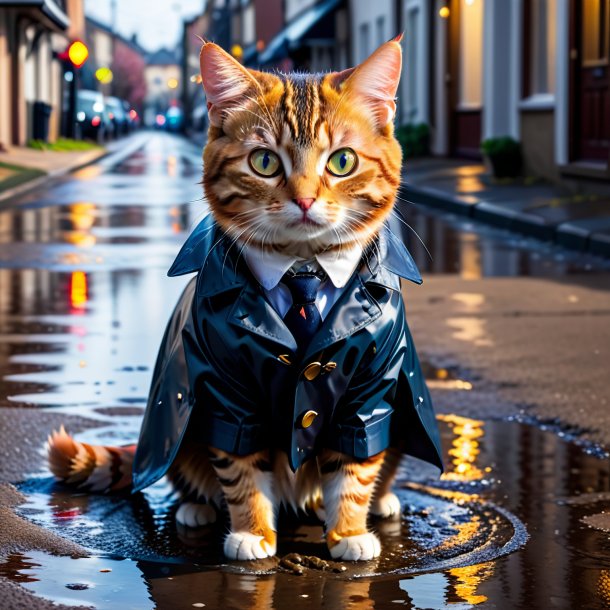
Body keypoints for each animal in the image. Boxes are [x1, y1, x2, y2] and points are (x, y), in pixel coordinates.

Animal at [46, 38, 436, 560]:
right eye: (265, 163)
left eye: (342, 161)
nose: (305, 201)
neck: (301, 267)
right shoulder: (224, 392)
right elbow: (239, 466)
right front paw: (253, 530)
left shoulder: (371, 389)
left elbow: (355, 468)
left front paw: (349, 531)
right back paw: (197, 507)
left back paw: (382, 500)